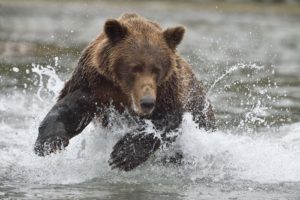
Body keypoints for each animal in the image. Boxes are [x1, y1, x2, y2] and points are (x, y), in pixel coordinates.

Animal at [34, 13, 214, 171]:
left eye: (157, 69)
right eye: (135, 67)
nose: (147, 102)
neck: (123, 89)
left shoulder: (167, 90)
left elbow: (167, 119)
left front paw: (123, 154)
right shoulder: (94, 83)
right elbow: (71, 109)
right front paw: (48, 143)